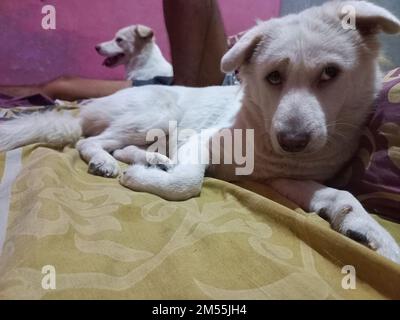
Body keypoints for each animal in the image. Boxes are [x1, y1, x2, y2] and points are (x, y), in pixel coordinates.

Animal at [0, 1, 400, 264]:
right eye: (273, 77)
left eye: (330, 73)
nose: (293, 142)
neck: (260, 125)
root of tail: (89, 107)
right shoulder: (201, 142)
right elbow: (189, 182)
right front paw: (141, 180)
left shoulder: (284, 178)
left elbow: (342, 195)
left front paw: (375, 235)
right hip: (157, 115)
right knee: (89, 142)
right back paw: (110, 163)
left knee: (121, 147)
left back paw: (149, 160)